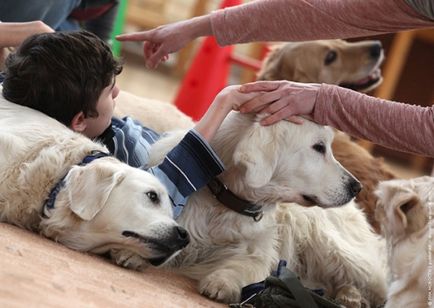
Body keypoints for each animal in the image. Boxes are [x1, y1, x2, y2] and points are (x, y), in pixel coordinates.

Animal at [112, 112, 386, 306]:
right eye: (319, 147)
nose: (355, 187)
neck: (223, 201)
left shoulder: (261, 253)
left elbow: (247, 265)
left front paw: (222, 282)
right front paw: (134, 252)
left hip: (331, 246)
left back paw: (352, 296)